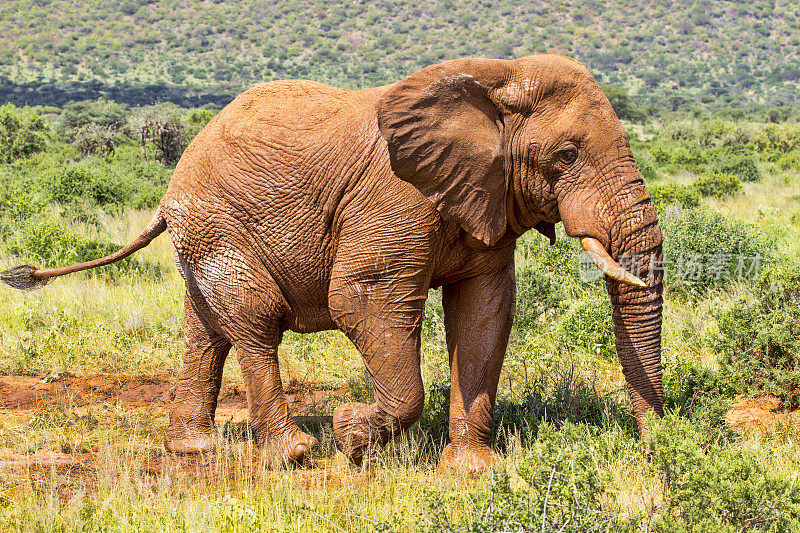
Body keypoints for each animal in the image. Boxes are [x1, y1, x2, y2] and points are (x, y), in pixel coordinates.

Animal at [1, 54, 664, 470]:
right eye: (567, 154)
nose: (656, 445)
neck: (497, 78)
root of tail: (173, 183)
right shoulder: (395, 197)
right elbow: (363, 299)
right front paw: (350, 434)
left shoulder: (486, 196)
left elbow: (484, 313)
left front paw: (473, 470)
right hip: (218, 223)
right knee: (255, 321)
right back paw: (293, 453)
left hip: (202, 232)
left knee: (206, 330)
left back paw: (194, 452)